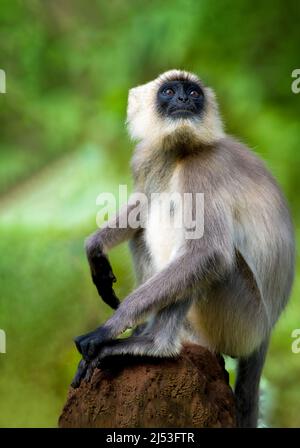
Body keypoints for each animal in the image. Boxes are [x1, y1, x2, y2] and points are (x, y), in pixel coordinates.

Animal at [73, 69, 296, 428]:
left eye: (193, 93)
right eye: (169, 92)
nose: (183, 100)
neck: (178, 151)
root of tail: (266, 332)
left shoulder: (203, 169)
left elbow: (209, 253)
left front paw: (110, 327)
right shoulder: (147, 158)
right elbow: (142, 204)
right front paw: (95, 248)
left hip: (241, 323)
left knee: (211, 261)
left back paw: (156, 345)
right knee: (146, 227)